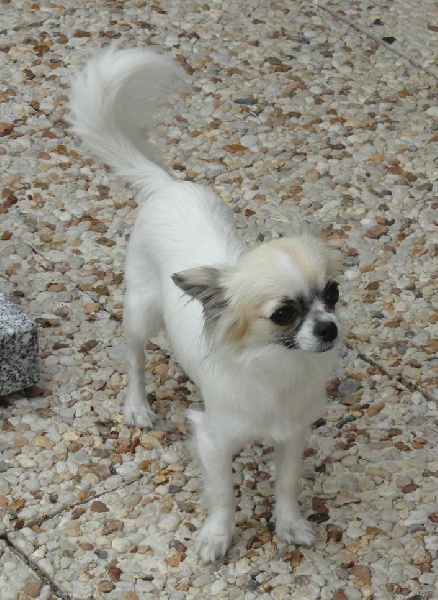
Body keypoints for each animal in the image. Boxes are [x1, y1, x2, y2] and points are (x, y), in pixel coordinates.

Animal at [70, 47, 342, 563]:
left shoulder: (293, 435)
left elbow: (286, 484)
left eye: (333, 293)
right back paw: (137, 407)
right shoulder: (213, 438)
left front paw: (289, 524)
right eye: (283, 314)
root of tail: (164, 186)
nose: (330, 328)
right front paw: (218, 536)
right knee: (134, 357)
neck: (277, 365)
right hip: (141, 313)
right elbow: (225, 494)